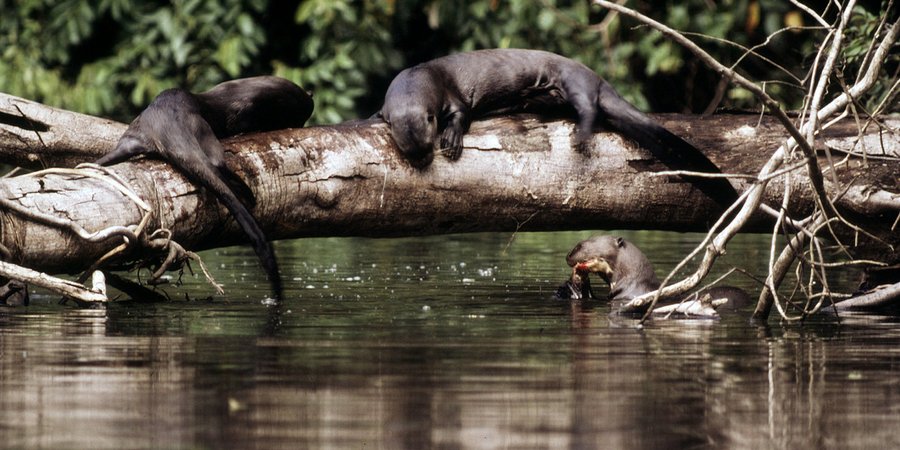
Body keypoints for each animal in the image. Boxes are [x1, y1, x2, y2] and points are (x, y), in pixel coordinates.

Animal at [97, 76, 314, 301]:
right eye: (294, 119)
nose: (299, 125)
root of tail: (168, 126)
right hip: (202, 128)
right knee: (217, 163)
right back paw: (247, 192)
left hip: (133, 135)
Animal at [378, 48, 737, 206]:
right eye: (409, 150)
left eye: (427, 144)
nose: (424, 160)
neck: (421, 76)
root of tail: (599, 79)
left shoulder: (449, 94)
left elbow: (460, 114)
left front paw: (451, 139)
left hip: (571, 78)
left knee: (589, 106)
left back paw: (580, 134)